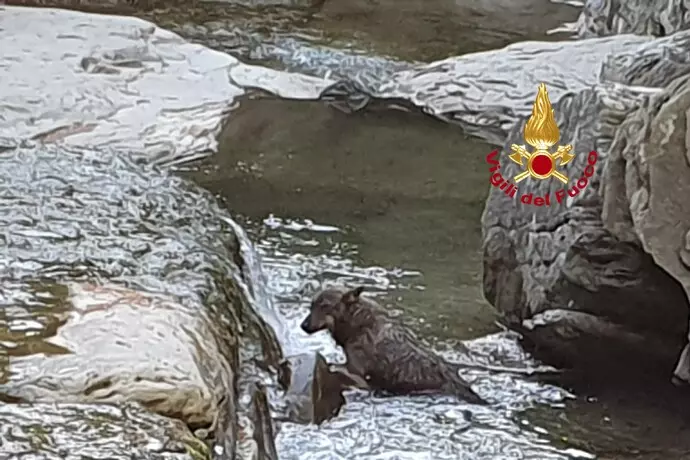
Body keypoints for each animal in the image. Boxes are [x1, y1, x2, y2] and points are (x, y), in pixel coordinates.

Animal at [300, 285, 487, 404]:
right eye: (311, 306)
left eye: (324, 306)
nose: (303, 325)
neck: (360, 325)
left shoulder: (360, 376)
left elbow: (334, 366)